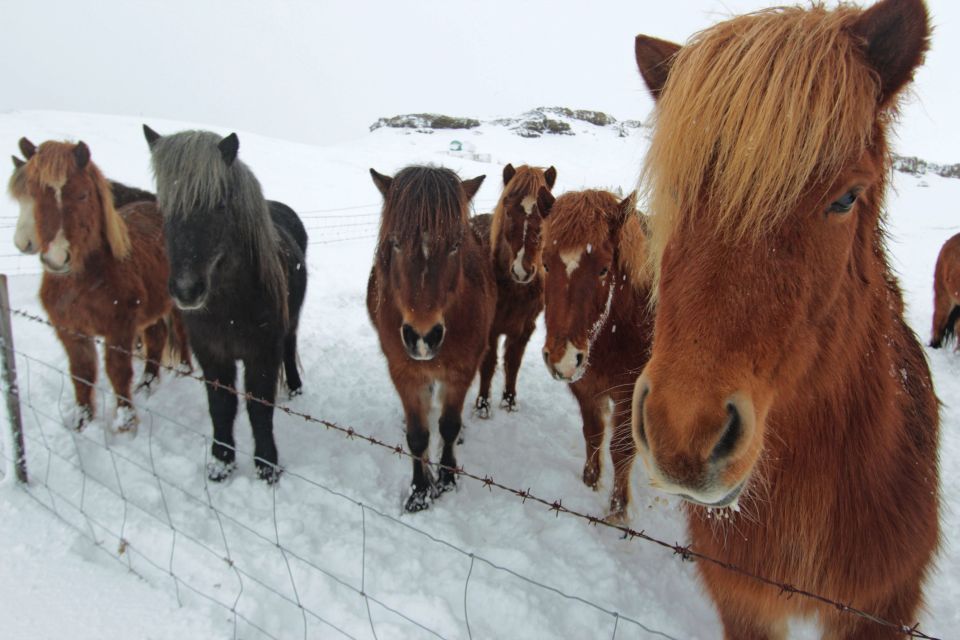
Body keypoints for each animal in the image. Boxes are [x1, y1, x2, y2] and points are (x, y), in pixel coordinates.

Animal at [22, 140, 190, 432]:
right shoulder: (71, 331)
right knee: (156, 338)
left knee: (180, 332)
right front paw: (82, 418)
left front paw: (126, 422)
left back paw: (184, 370)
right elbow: (82, 372)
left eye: (82, 195)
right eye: (33, 193)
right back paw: (148, 383)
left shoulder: (119, 329)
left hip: (176, 305)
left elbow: (117, 372)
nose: (56, 258)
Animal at [143, 126, 308, 484]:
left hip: (290, 326)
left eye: (219, 204)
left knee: (290, 348)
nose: (186, 290)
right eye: (164, 206)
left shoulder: (262, 353)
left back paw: (296, 388)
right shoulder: (211, 353)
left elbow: (259, 407)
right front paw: (221, 463)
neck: (230, 307)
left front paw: (267, 466)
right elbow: (221, 405)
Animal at [367, 165, 495, 512]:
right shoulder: (404, 373)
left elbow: (448, 426)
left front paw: (447, 478)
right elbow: (417, 435)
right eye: (396, 242)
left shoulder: (461, 371)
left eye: (455, 244)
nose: (422, 336)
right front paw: (420, 490)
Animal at [469, 163, 556, 418]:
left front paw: (509, 400)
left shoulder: (524, 328)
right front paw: (483, 405)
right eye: (508, 212)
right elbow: (488, 364)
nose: (522, 270)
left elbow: (513, 363)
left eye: (546, 212)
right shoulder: (491, 328)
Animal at [538, 188, 653, 522]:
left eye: (603, 269)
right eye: (546, 263)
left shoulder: (630, 395)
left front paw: (617, 510)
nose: (563, 358)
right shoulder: (585, 387)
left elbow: (622, 450)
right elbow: (593, 434)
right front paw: (590, 481)